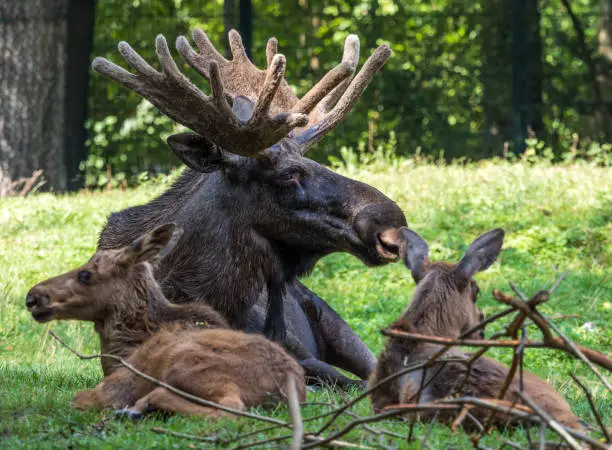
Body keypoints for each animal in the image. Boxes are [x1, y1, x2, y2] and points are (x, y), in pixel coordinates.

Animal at [27, 225, 304, 418]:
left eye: (85, 274)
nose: (33, 297)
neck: (121, 350)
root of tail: (286, 390)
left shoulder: (115, 385)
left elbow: (77, 399)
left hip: (188, 367)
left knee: (231, 408)